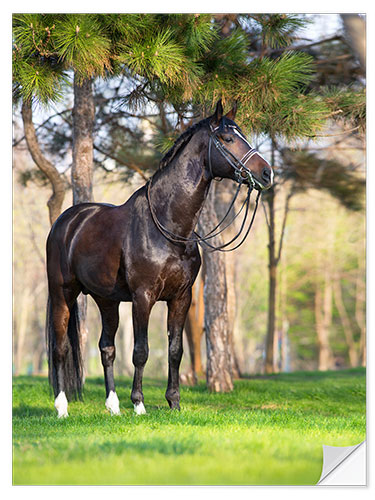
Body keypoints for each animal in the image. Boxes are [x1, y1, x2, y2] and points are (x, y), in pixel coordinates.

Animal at [47, 99, 274, 416]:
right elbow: (141, 351)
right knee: (60, 348)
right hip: (62, 294)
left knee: (106, 348)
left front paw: (174, 402)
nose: (267, 173)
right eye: (227, 138)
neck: (169, 227)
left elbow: (175, 350)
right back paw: (62, 407)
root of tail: (66, 221)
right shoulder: (143, 296)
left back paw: (113, 406)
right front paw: (139, 404)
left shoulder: (181, 298)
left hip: (107, 300)